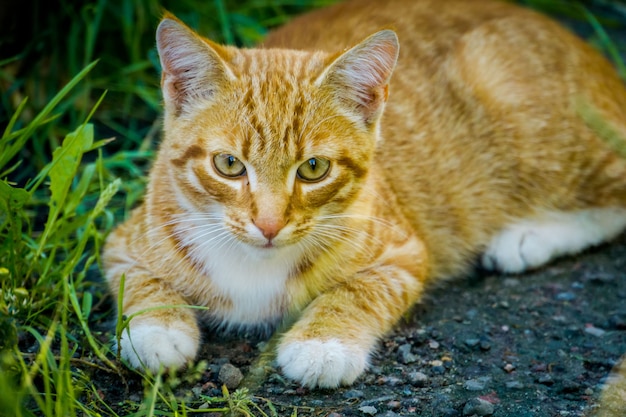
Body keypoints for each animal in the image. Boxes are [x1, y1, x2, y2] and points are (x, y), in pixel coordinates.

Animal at [103, 0, 626, 386]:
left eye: (313, 169)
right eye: (229, 165)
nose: (269, 225)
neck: (253, 262)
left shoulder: (405, 252)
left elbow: (358, 290)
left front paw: (323, 344)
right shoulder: (122, 242)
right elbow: (140, 281)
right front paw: (157, 329)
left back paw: (528, 237)